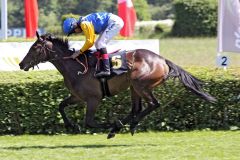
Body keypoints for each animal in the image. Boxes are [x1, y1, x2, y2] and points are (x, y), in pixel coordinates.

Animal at [19, 31, 217, 138]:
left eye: (35, 48)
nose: (21, 64)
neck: (76, 66)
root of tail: (163, 60)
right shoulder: (77, 97)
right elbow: (61, 106)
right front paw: (72, 126)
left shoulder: (93, 99)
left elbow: (90, 122)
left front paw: (111, 124)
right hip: (134, 87)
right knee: (136, 109)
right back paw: (126, 126)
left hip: (140, 84)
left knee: (154, 104)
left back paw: (123, 125)